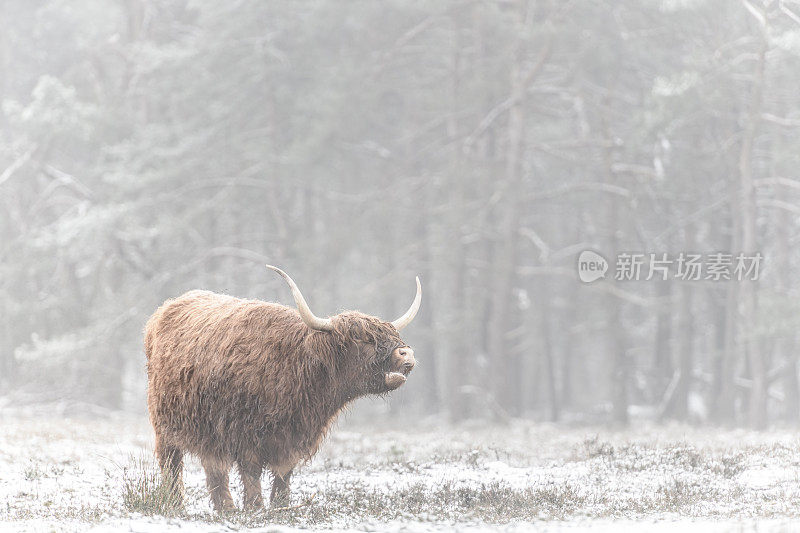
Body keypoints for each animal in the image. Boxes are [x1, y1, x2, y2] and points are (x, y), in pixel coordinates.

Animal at [145, 266, 422, 512]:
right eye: (363, 339)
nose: (406, 353)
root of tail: (165, 309)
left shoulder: (293, 438)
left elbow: (282, 476)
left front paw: (281, 506)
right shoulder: (247, 433)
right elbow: (251, 473)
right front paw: (255, 509)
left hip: (209, 429)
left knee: (214, 467)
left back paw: (227, 509)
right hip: (165, 426)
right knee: (172, 465)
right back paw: (176, 505)